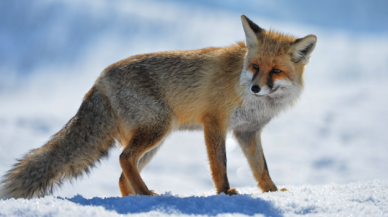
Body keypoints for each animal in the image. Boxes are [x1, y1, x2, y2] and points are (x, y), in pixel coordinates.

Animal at [0, 14, 316, 198]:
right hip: (157, 130)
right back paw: (148, 195)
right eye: (255, 67)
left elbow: (261, 168)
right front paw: (225, 194)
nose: (255, 88)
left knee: (122, 176)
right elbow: (221, 165)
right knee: (124, 159)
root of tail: (100, 78)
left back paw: (136, 200)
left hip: (154, 143)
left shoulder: (247, 132)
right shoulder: (214, 122)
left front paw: (275, 193)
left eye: (275, 71)